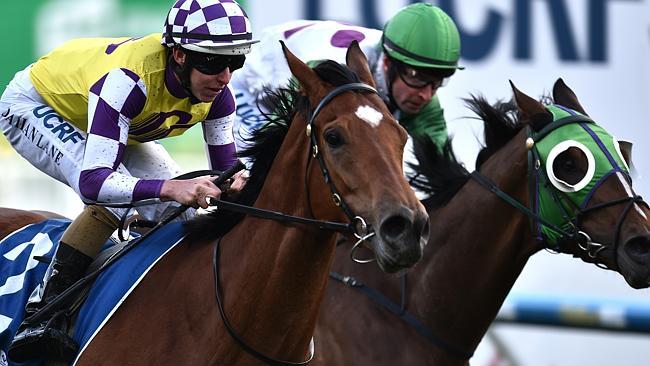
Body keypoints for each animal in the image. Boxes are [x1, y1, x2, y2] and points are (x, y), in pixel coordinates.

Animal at [1, 42, 430, 364]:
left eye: (401, 135)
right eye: (335, 137)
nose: (407, 227)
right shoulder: (120, 90)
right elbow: (95, 179)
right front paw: (193, 190)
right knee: (102, 200)